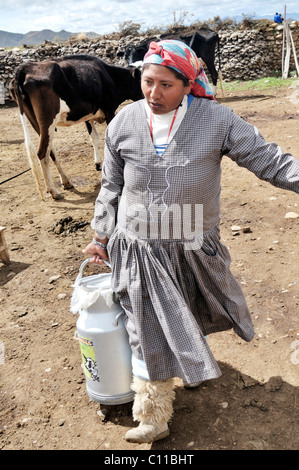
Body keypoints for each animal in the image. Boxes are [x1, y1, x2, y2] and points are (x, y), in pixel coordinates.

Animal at [9, 54, 144, 199]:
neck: (109, 75)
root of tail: (25, 67)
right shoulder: (109, 110)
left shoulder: (88, 115)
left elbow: (94, 138)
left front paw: (98, 163)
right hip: (47, 119)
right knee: (42, 152)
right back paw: (53, 191)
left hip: (35, 121)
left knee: (50, 151)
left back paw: (66, 181)